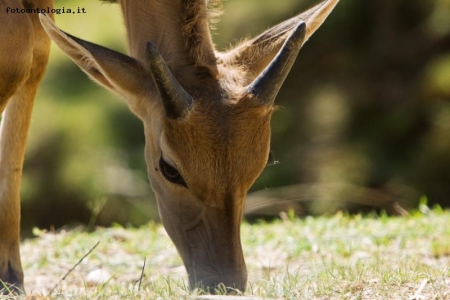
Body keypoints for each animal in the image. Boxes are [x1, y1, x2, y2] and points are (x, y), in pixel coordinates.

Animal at [0, 0, 340, 294]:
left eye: (263, 161)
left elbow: (36, 58)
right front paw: (10, 279)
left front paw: (11, 278)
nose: (222, 284)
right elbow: (20, 60)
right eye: (170, 169)